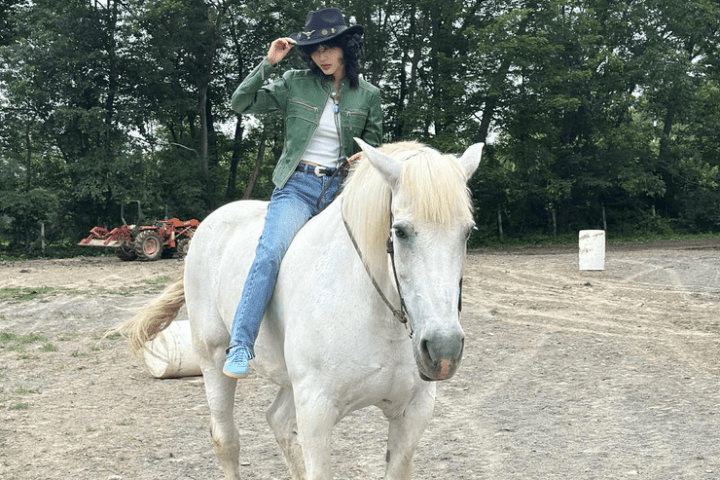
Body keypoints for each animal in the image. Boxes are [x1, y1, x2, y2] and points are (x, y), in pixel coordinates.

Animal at [116, 138, 483, 480]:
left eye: (467, 232)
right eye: (401, 231)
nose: (443, 349)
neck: (376, 314)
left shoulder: (413, 414)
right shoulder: (316, 413)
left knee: (276, 420)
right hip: (214, 358)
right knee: (226, 439)